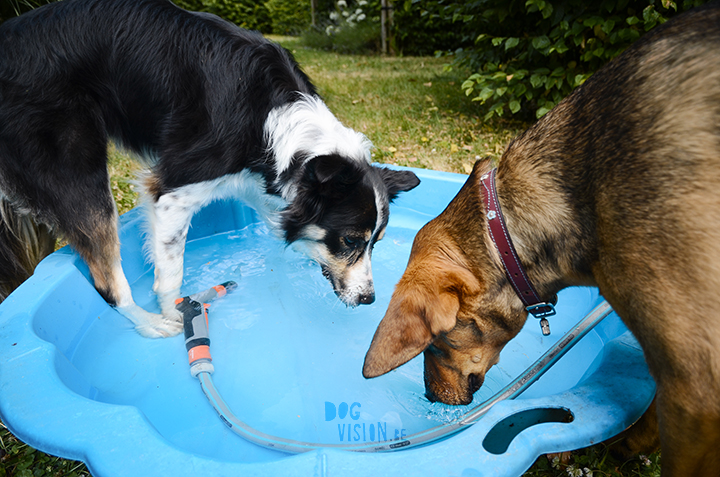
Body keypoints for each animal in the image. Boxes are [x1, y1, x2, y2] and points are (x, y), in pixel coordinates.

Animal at [0, 0, 416, 336]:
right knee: (105, 277)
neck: (271, 123)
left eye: (376, 243)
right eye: (350, 241)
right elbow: (170, 272)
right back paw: (149, 323)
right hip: (76, 168)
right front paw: (178, 314)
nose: (369, 299)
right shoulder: (172, 190)